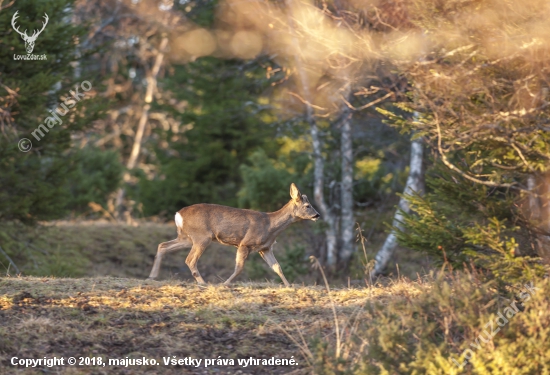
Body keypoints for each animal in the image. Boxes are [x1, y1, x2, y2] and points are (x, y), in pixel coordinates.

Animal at [149, 184, 322, 286]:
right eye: (308, 206)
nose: (318, 215)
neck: (270, 225)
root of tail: (178, 214)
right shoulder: (245, 243)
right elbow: (239, 268)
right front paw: (224, 284)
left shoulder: (265, 248)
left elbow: (277, 267)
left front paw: (288, 285)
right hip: (202, 237)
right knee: (190, 260)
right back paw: (203, 282)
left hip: (186, 237)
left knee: (163, 245)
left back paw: (152, 276)